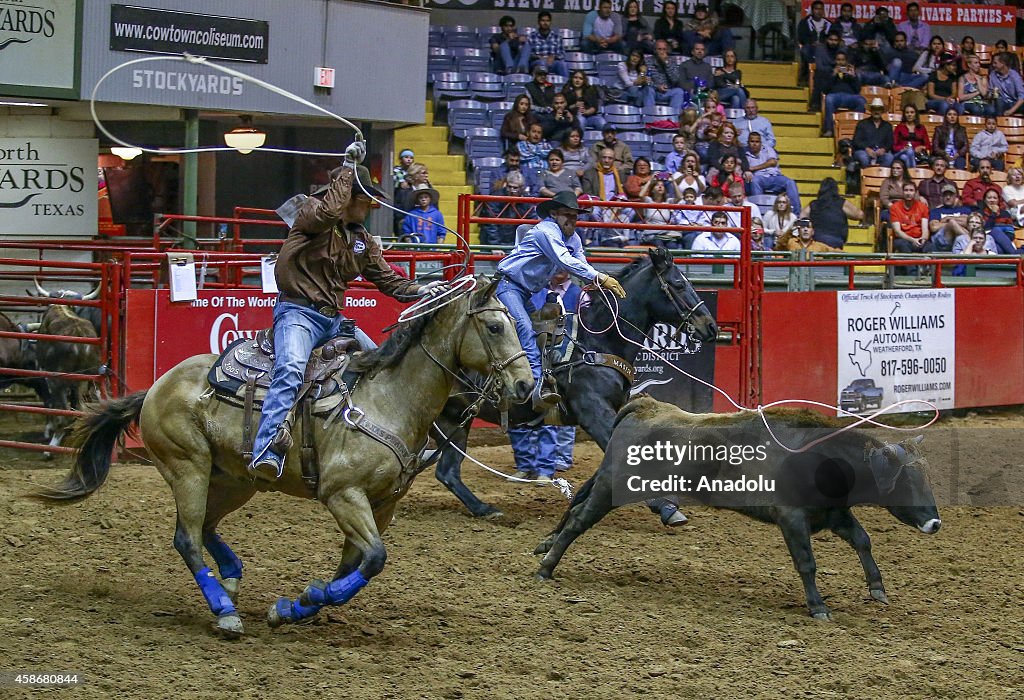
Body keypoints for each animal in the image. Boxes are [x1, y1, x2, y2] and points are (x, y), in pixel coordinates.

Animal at [35, 279, 534, 637]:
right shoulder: (343, 495)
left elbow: (355, 566)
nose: (527, 385)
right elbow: (374, 559)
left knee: (205, 527)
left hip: (235, 479)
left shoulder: (383, 505)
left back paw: (231, 580)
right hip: (188, 467)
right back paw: (224, 611)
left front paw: (295, 607)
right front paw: (300, 602)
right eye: (495, 327)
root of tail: (156, 387)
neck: (388, 399)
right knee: (187, 538)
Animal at [433, 247, 719, 520]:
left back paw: (483, 508)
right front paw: (665, 506)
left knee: (446, 472)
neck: (596, 344)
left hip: (455, 420)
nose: (711, 327)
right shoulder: (593, 412)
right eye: (678, 284)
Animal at [535, 395, 942, 620]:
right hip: (614, 487)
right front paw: (818, 607)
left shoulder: (833, 514)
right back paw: (546, 568)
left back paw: (546, 546)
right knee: (579, 519)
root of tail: (645, 405)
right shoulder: (791, 518)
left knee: (577, 501)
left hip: (606, 480)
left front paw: (877, 589)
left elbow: (862, 540)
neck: (823, 456)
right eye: (906, 483)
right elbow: (807, 563)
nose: (935, 523)